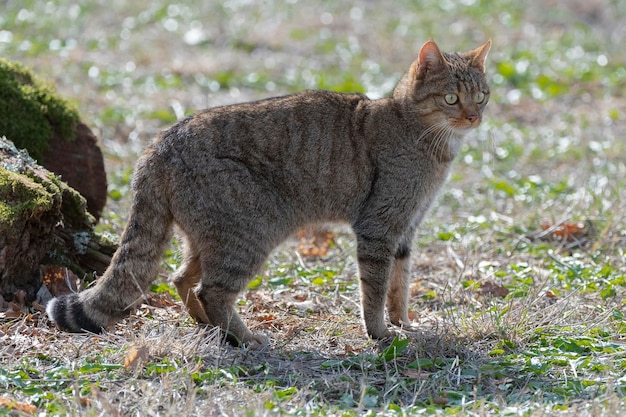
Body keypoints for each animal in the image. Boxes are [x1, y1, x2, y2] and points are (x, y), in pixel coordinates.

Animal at [47, 39, 488, 344]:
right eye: (451, 97)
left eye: (481, 95)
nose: (473, 116)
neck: (429, 142)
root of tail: (159, 143)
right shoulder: (379, 227)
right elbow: (376, 289)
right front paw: (379, 332)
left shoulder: (406, 229)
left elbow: (400, 284)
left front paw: (403, 323)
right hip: (252, 230)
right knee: (211, 289)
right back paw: (244, 336)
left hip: (212, 235)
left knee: (180, 278)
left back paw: (209, 326)